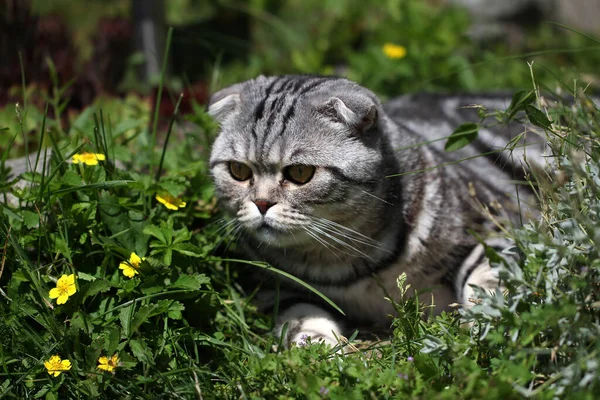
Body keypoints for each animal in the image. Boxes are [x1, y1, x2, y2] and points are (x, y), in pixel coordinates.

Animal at [207, 74, 544, 346]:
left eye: (300, 173)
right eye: (238, 170)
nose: (262, 203)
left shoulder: (498, 227)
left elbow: (487, 277)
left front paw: (491, 318)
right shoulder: (270, 286)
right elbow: (298, 314)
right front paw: (314, 342)